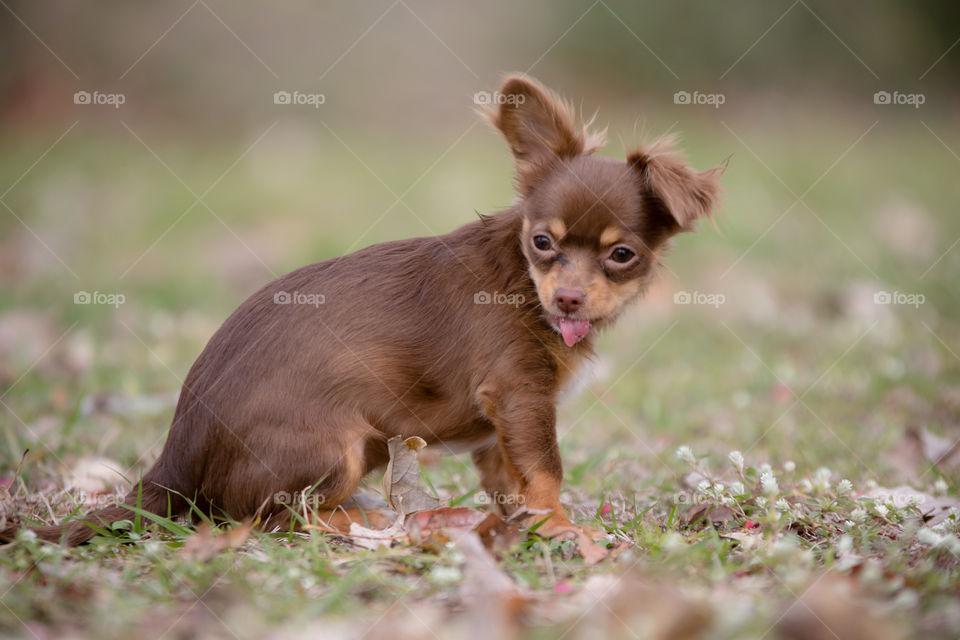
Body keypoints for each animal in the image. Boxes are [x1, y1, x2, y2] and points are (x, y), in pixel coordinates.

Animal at [5, 74, 720, 544]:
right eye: (542, 243)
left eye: (621, 255)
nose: (568, 296)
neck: (524, 283)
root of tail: (171, 464)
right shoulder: (519, 394)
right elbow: (545, 472)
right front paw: (568, 531)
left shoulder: (501, 424)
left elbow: (510, 480)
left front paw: (518, 526)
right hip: (343, 444)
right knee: (270, 517)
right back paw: (368, 519)